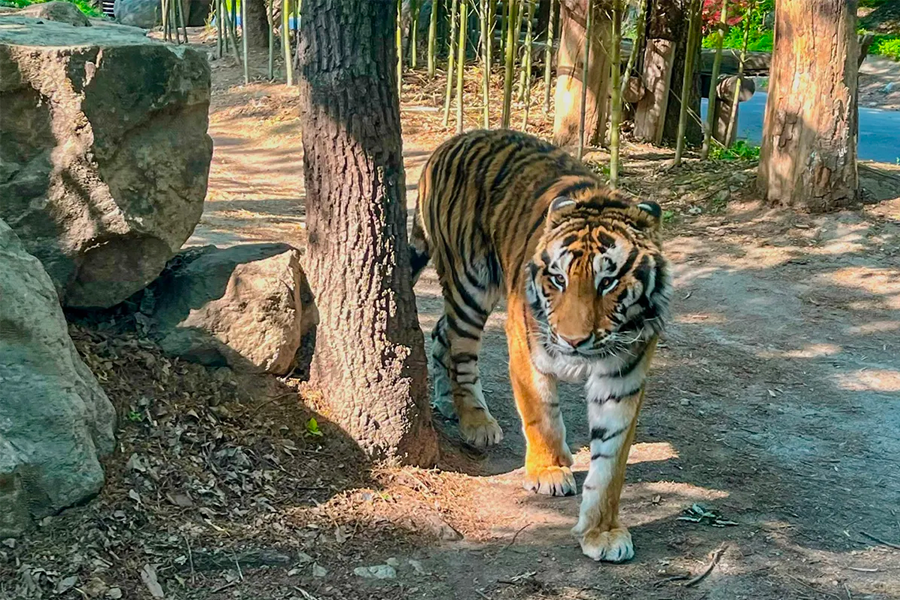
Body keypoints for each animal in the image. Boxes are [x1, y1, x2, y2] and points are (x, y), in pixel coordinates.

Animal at [409, 129, 672, 562]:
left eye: (608, 282)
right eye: (558, 278)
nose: (572, 340)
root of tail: (452, 141)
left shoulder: (623, 378)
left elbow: (611, 463)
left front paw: (602, 531)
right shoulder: (526, 346)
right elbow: (541, 414)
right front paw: (548, 471)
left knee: (441, 333)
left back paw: (447, 401)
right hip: (470, 285)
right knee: (461, 351)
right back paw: (475, 421)